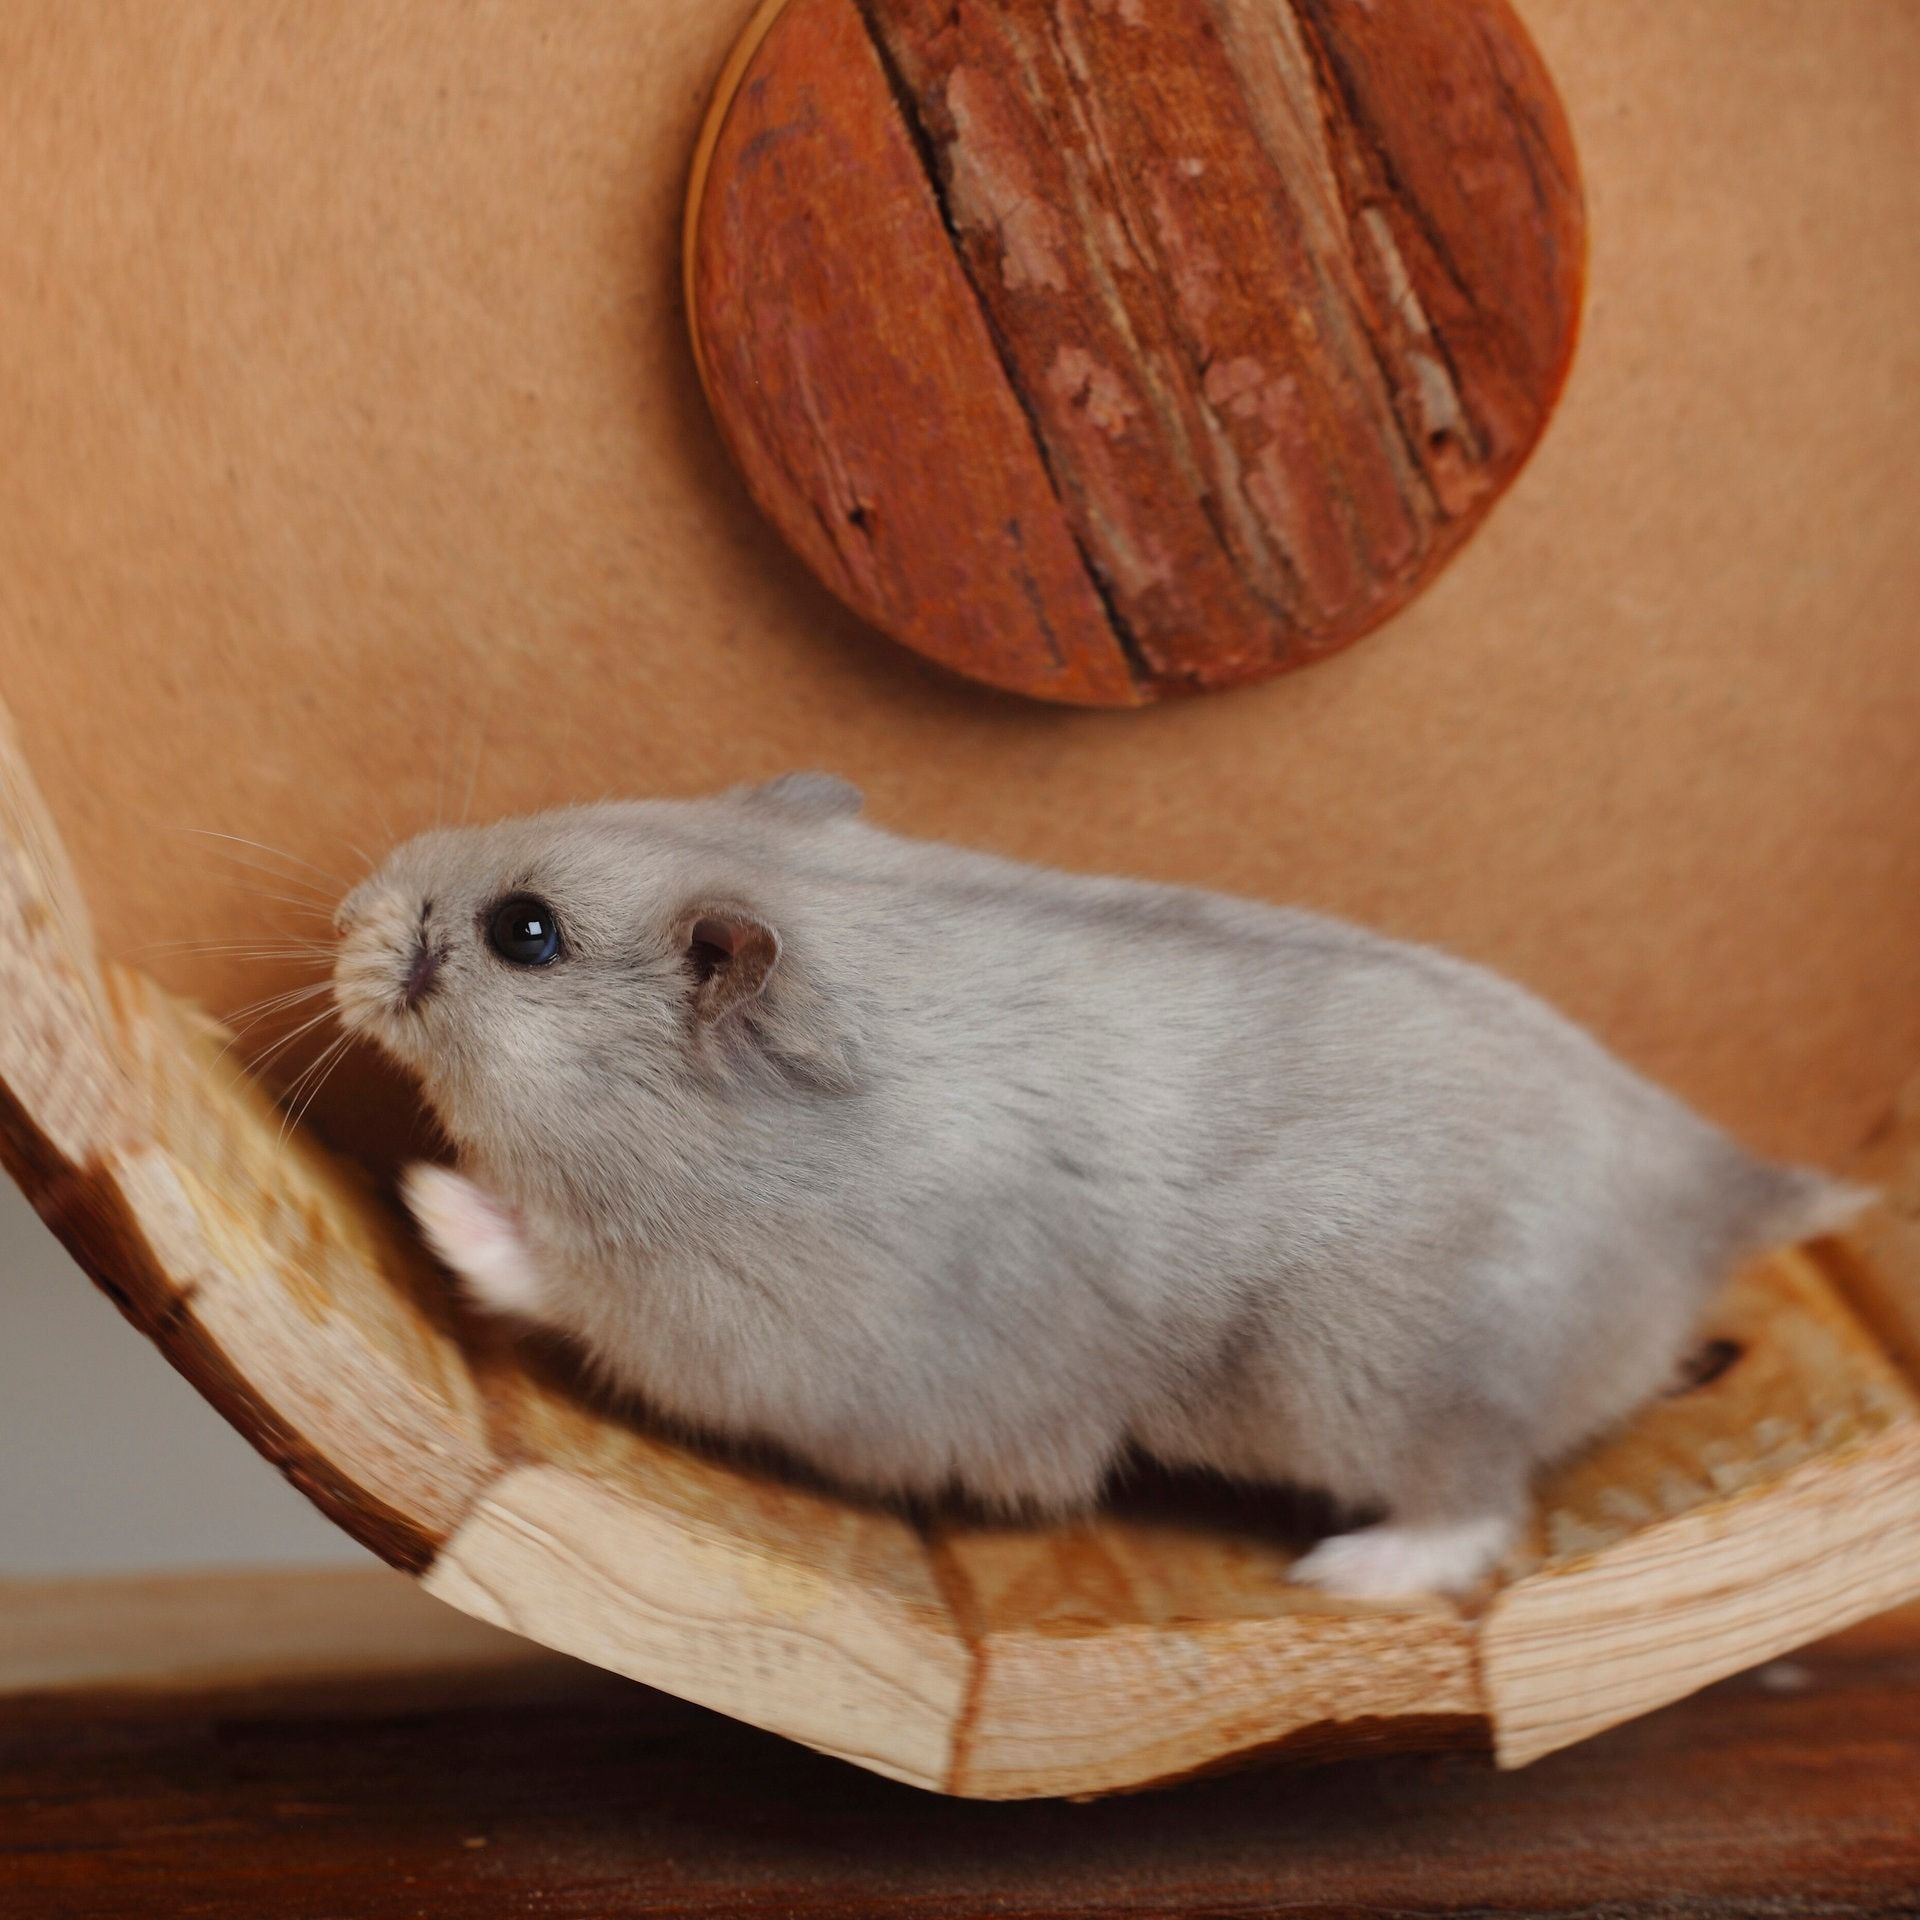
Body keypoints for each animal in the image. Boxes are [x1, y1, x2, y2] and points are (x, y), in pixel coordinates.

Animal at [330, 773, 1868, 1598]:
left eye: (525, 933)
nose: (347, 914)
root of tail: (1719, 1191)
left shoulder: (753, 1327)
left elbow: (567, 1278)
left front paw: (427, 1194)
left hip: (1369, 1375)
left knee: (1477, 1499)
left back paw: (1344, 1576)